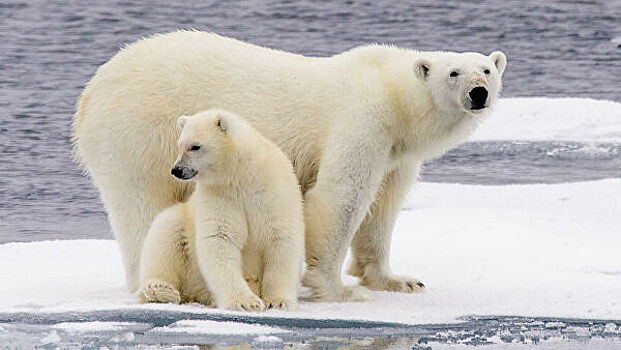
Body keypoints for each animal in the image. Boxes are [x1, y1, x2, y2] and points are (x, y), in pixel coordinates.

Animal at [72, 31, 504, 302]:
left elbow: (383, 207)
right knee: (142, 206)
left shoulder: (397, 152)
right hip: (141, 134)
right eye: (454, 72)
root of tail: (89, 94)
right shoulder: (362, 119)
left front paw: (397, 280)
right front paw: (338, 289)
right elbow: (340, 197)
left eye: (487, 69)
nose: (478, 93)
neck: (392, 92)